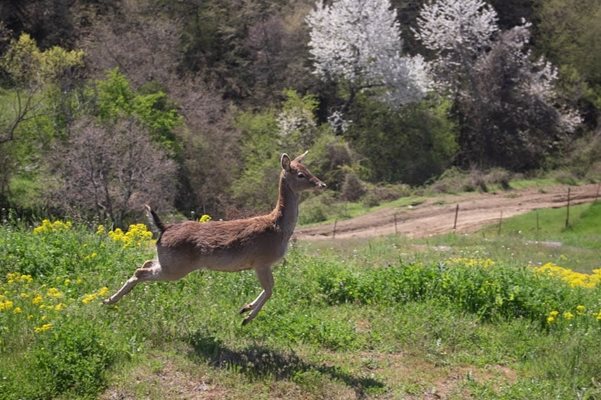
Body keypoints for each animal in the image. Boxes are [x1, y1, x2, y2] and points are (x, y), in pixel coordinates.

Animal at [105, 152, 326, 324]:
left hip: (167, 261)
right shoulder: (261, 261)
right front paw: (247, 317)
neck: (279, 229)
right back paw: (108, 300)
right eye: (300, 174)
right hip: (175, 267)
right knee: (140, 271)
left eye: (308, 169)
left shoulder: (262, 264)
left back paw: (109, 300)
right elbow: (270, 289)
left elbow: (269, 289)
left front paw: (244, 308)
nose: (322, 184)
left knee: (145, 263)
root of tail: (164, 229)